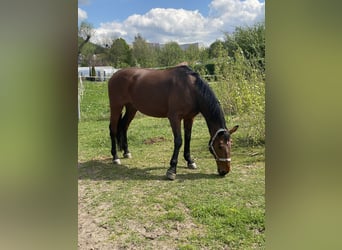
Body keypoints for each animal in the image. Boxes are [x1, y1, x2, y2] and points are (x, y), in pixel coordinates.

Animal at [107, 65, 238, 180]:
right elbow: (179, 141)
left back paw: (126, 152)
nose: (225, 171)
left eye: (231, 144)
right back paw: (115, 157)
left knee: (124, 126)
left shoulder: (189, 118)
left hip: (131, 108)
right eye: (220, 146)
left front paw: (190, 161)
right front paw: (172, 170)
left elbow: (188, 138)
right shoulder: (174, 118)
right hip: (116, 107)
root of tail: (115, 75)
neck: (190, 88)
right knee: (113, 129)